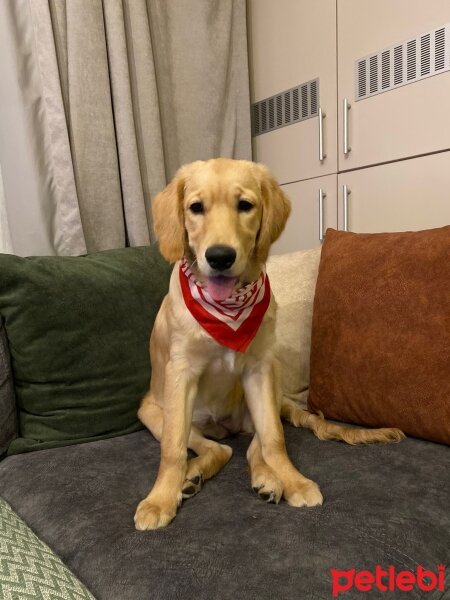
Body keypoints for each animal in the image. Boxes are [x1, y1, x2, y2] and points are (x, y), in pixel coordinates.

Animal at [134, 158, 404, 528]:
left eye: (245, 205)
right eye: (196, 208)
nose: (220, 256)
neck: (226, 309)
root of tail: (224, 427)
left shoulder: (259, 369)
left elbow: (274, 439)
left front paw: (292, 480)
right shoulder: (180, 373)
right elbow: (173, 448)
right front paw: (161, 499)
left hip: (267, 392)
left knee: (252, 445)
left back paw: (267, 480)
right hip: (153, 413)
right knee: (216, 448)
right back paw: (190, 477)